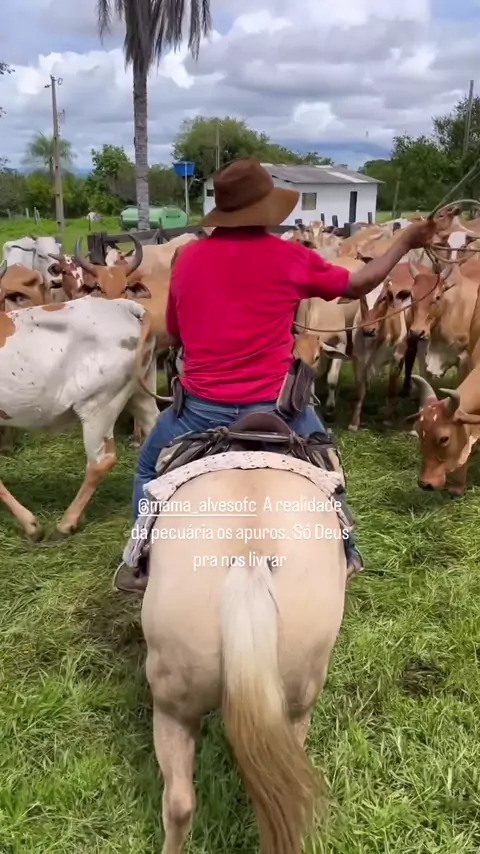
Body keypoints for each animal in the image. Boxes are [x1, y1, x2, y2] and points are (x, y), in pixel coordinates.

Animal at [0, 297, 159, 540]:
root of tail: (122, 305)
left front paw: (31, 525)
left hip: (99, 404)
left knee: (100, 462)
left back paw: (65, 524)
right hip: (141, 394)